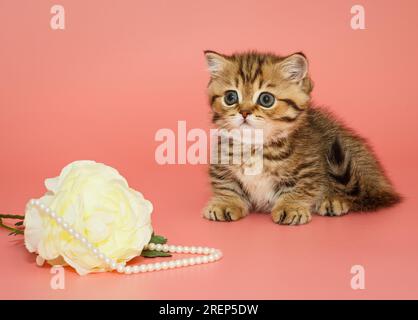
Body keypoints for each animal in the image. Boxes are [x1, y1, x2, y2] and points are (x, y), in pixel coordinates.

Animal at [204, 50, 400, 225]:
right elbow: (226, 184)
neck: (254, 144)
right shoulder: (220, 163)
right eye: (231, 97)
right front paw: (225, 202)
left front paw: (290, 206)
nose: (244, 112)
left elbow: (301, 187)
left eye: (266, 99)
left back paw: (333, 199)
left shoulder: (309, 166)